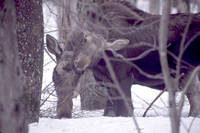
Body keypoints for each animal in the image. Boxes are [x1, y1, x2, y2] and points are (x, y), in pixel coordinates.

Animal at [46, 0, 200, 118]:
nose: (63, 113)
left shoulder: (124, 79)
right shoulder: (107, 83)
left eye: (75, 72)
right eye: (56, 74)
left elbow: (126, 111)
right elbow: (110, 112)